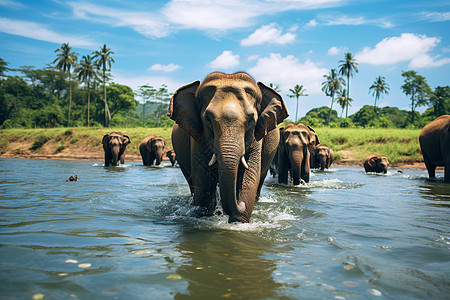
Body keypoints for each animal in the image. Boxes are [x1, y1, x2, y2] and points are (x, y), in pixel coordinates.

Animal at [168, 71, 288, 223]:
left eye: (251, 120)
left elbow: (250, 177)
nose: (240, 203)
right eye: (207, 119)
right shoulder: (198, 136)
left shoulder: (256, 136)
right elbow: (203, 178)